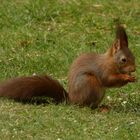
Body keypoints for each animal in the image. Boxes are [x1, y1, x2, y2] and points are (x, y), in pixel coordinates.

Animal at [0, 24, 136, 107]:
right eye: (123, 59)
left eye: (133, 56)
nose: (134, 69)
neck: (111, 61)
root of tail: (71, 100)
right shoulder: (103, 70)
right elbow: (109, 80)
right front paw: (126, 77)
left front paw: (132, 77)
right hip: (89, 82)